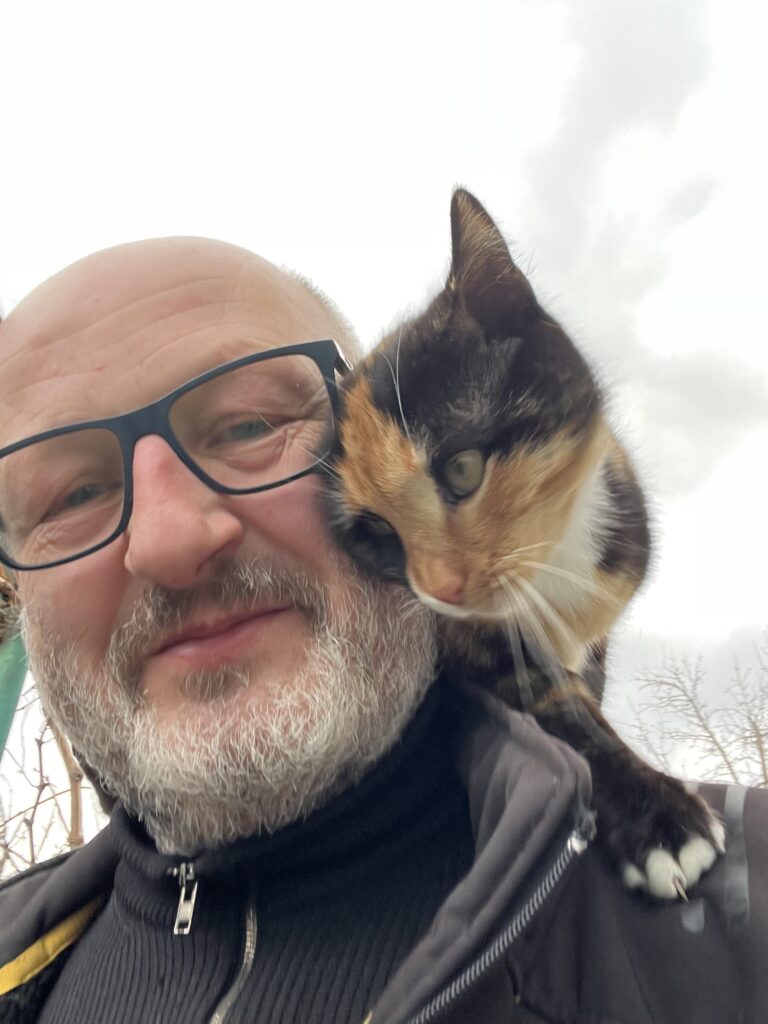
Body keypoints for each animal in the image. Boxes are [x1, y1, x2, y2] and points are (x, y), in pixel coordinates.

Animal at [322, 188, 725, 899]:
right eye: (376, 533)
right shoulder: (469, 646)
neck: (550, 576)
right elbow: (558, 709)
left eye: (462, 468)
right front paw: (661, 823)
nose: (440, 588)